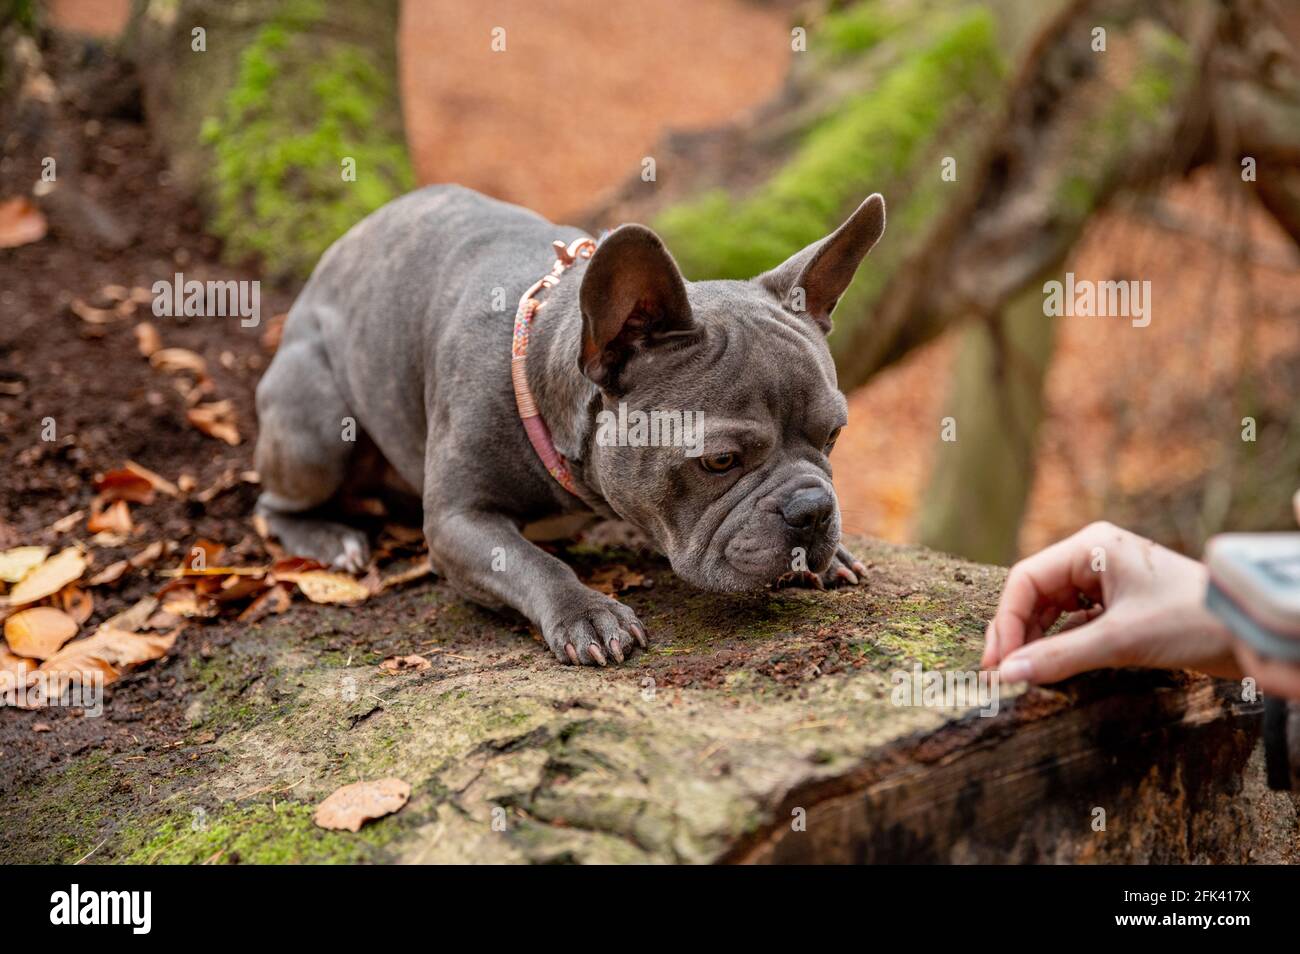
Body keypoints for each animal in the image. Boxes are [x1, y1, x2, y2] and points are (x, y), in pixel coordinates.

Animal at [253, 184, 883, 665]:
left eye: (833, 437)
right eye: (720, 461)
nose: (812, 509)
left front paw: (837, 555)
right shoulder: (458, 522)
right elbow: (535, 561)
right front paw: (588, 612)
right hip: (316, 430)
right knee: (272, 503)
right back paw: (329, 540)